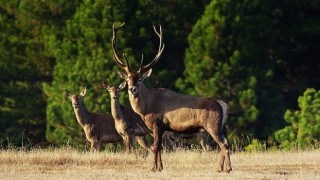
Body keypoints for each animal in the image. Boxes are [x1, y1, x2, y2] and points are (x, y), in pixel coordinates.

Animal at [111, 22, 231, 173]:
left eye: (140, 79)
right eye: (128, 79)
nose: (132, 89)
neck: (147, 107)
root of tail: (222, 105)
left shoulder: (157, 123)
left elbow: (155, 147)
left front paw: (153, 168)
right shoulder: (162, 128)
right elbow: (160, 148)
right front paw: (160, 167)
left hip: (212, 125)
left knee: (224, 144)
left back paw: (226, 168)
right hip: (219, 127)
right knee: (225, 143)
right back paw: (221, 168)